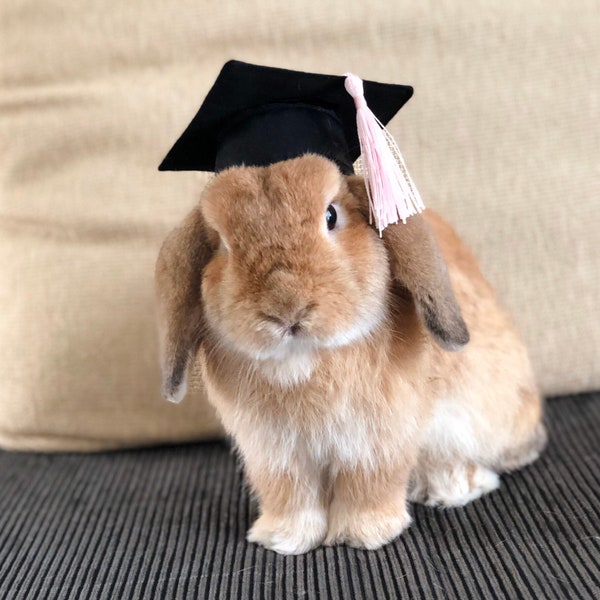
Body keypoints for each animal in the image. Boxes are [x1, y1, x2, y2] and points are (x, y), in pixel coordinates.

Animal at [156, 154, 548, 552]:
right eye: (221, 242)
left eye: (331, 215)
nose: (286, 309)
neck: (305, 359)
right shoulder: (275, 453)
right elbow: (290, 494)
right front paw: (284, 538)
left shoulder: (376, 440)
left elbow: (369, 484)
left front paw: (363, 534)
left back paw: (451, 486)